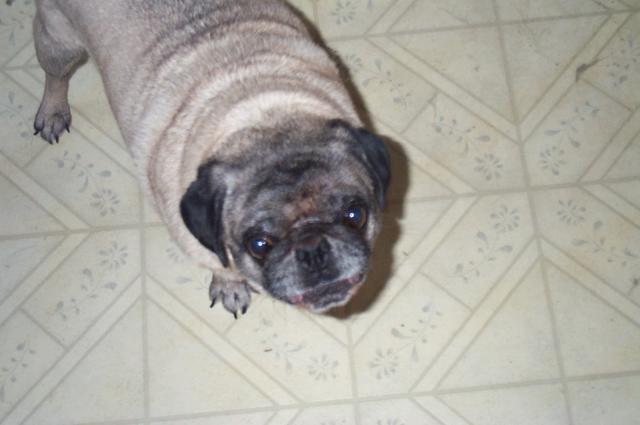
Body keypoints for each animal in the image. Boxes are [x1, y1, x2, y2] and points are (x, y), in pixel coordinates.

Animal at [32, 0, 390, 316]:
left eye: (355, 215)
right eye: (259, 244)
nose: (313, 248)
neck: (265, 117)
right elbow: (222, 267)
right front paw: (230, 285)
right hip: (59, 43)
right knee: (55, 76)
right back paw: (52, 111)